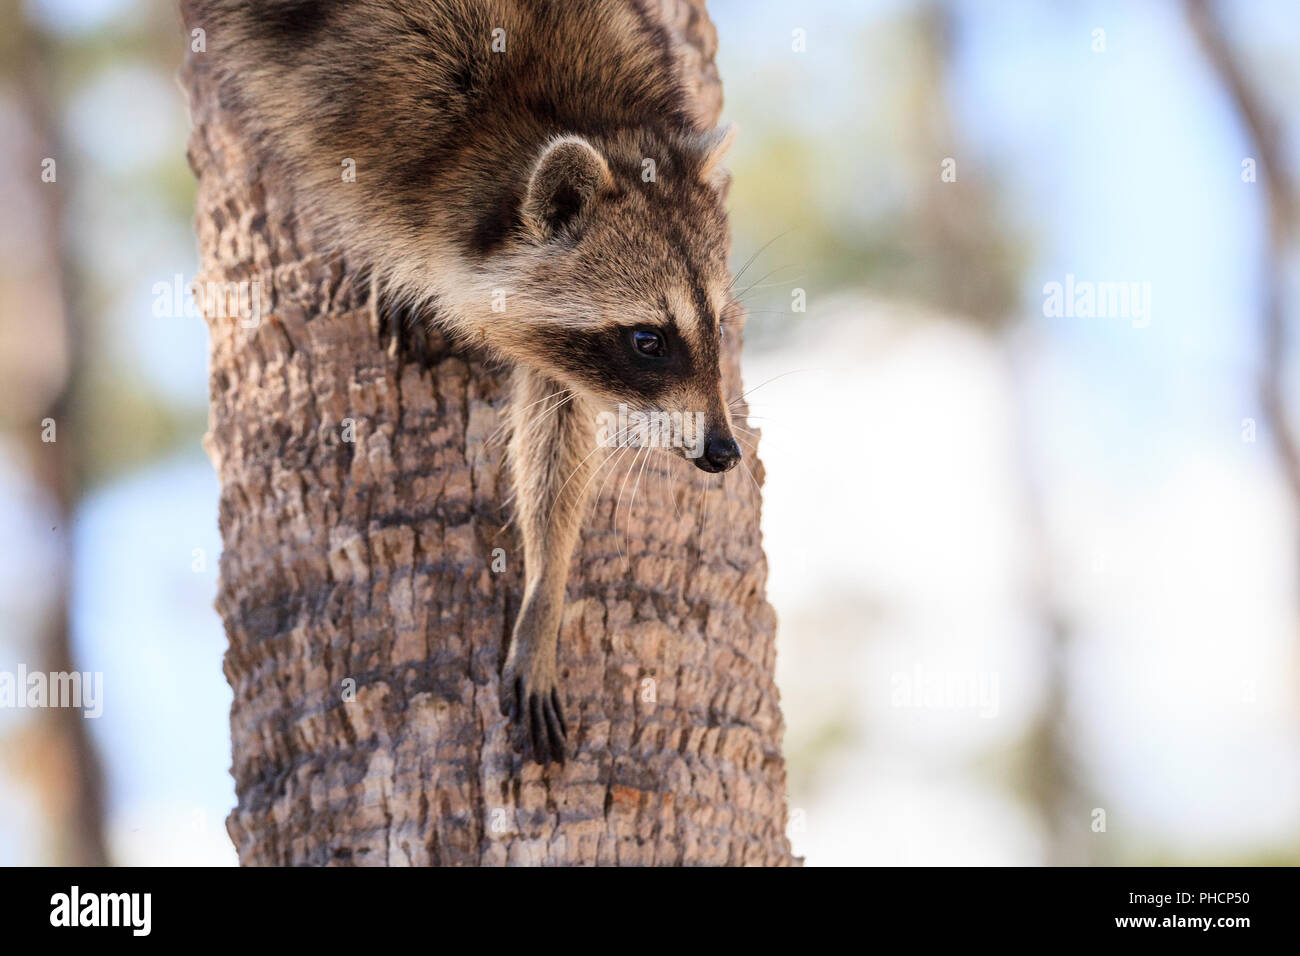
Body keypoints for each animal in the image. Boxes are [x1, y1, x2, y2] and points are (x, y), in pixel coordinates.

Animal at [188, 0, 748, 764]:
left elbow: (557, 435)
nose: (723, 451)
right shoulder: (369, 108)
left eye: (717, 324)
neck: (563, 111)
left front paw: (545, 590)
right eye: (648, 341)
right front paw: (382, 264)